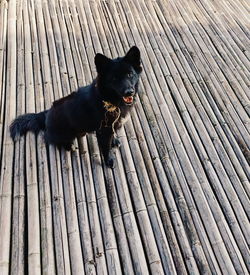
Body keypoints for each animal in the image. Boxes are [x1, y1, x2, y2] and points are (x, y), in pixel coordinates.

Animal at [9, 46, 143, 167]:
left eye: (130, 74)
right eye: (114, 78)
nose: (129, 92)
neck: (108, 100)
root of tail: (46, 115)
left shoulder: (111, 125)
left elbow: (112, 135)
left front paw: (114, 140)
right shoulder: (102, 130)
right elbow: (106, 148)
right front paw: (109, 161)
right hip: (64, 133)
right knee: (49, 138)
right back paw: (69, 145)